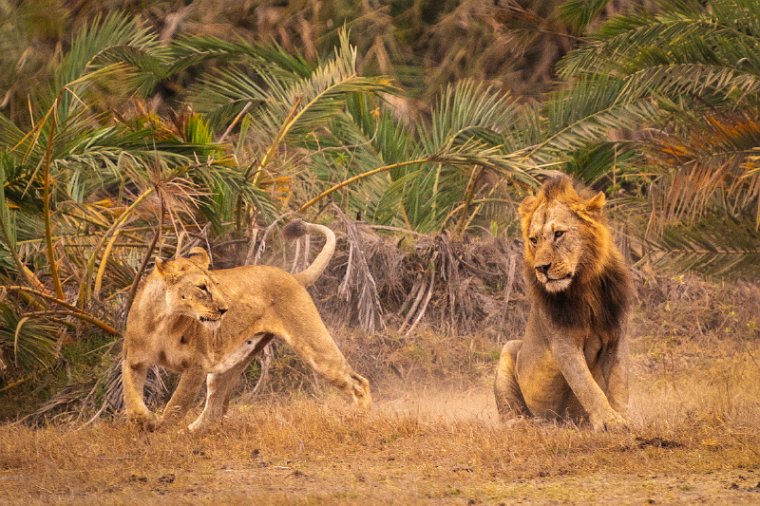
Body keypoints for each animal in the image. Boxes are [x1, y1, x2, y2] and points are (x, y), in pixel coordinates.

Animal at [122, 218, 372, 430]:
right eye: (202, 288)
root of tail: (292, 276)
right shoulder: (134, 360)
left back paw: (362, 420)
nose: (224, 310)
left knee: (359, 382)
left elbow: (176, 404)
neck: (163, 321)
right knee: (214, 411)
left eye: (216, 284)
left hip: (314, 348)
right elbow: (131, 398)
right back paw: (190, 432)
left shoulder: (197, 365)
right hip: (227, 366)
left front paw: (160, 429)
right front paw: (144, 421)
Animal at [496, 175, 632, 430]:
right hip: (508, 348)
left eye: (558, 234)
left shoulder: (616, 338)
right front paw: (609, 421)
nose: (541, 268)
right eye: (534, 240)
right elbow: (587, 386)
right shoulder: (563, 342)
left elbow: (618, 386)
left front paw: (622, 417)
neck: (585, 286)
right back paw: (521, 423)